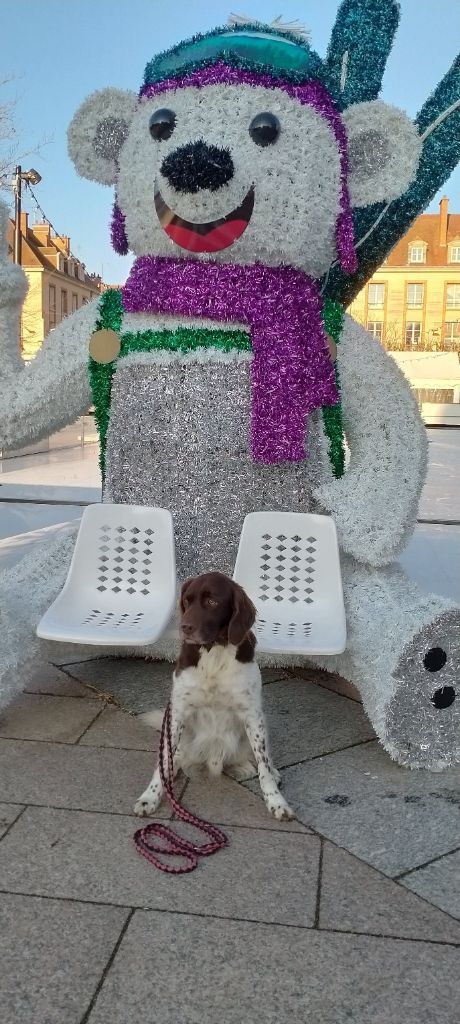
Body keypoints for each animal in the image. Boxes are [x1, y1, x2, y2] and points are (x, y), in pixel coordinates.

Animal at [133, 573, 293, 819]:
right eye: (187, 601)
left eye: (212, 602)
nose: (184, 627)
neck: (213, 651)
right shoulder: (178, 712)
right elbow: (162, 764)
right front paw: (150, 797)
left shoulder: (252, 714)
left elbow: (263, 765)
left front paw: (276, 801)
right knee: (175, 756)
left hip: (261, 721)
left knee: (261, 758)